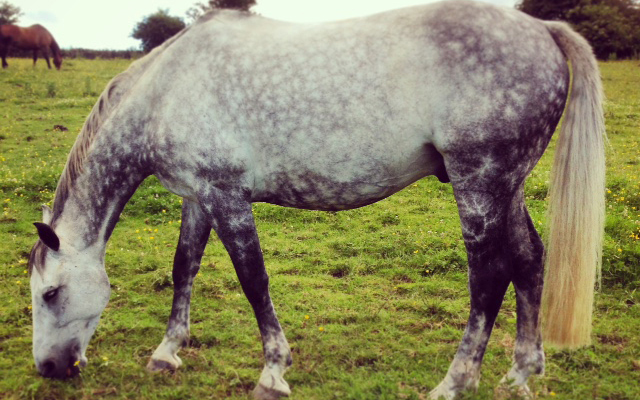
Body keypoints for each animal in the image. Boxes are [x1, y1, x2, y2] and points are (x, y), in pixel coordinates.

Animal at [27, 1, 605, 399]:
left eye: (51, 293)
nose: (48, 369)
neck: (167, 91)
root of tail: (542, 30)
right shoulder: (199, 197)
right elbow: (183, 266)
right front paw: (167, 352)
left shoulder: (227, 197)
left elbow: (253, 280)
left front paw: (273, 372)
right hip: (507, 185)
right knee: (529, 260)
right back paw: (521, 373)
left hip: (479, 182)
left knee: (489, 276)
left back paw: (456, 381)